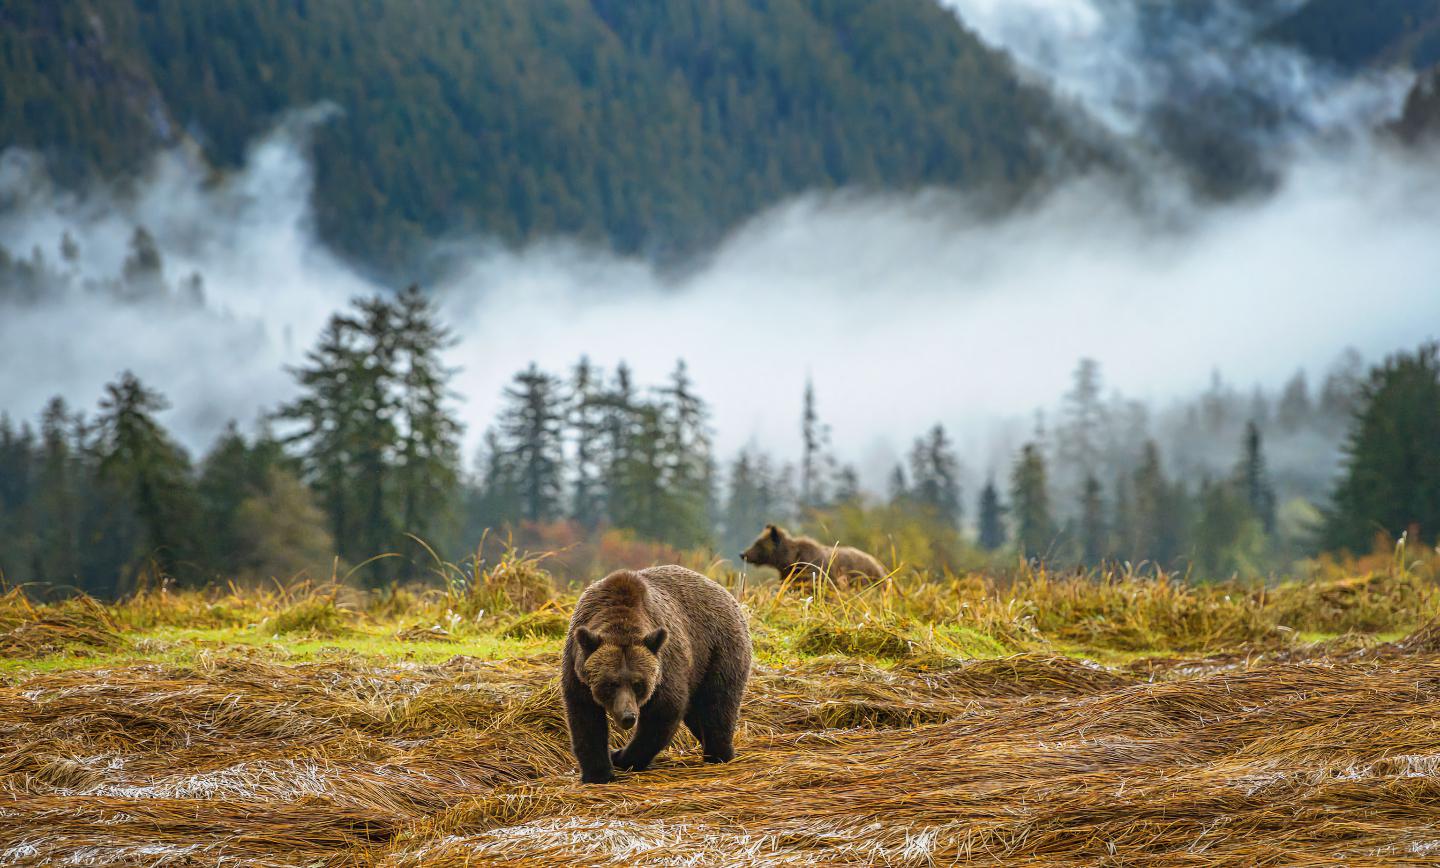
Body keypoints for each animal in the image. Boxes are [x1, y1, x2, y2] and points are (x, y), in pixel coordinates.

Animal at [558, 567, 754, 783]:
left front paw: (620, 756)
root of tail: (727, 595)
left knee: (718, 705)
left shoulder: (665, 665)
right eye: (610, 683)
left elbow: (662, 711)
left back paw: (719, 754)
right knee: (698, 712)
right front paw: (598, 773)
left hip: (719, 650)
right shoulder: (577, 670)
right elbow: (585, 717)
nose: (628, 716)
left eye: (638, 684)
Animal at [748, 523, 881, 590]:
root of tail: (877, 564)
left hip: (861, 578)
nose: (744, 554)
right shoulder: (789, 575)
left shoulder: (813, 571)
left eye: (758, 544)